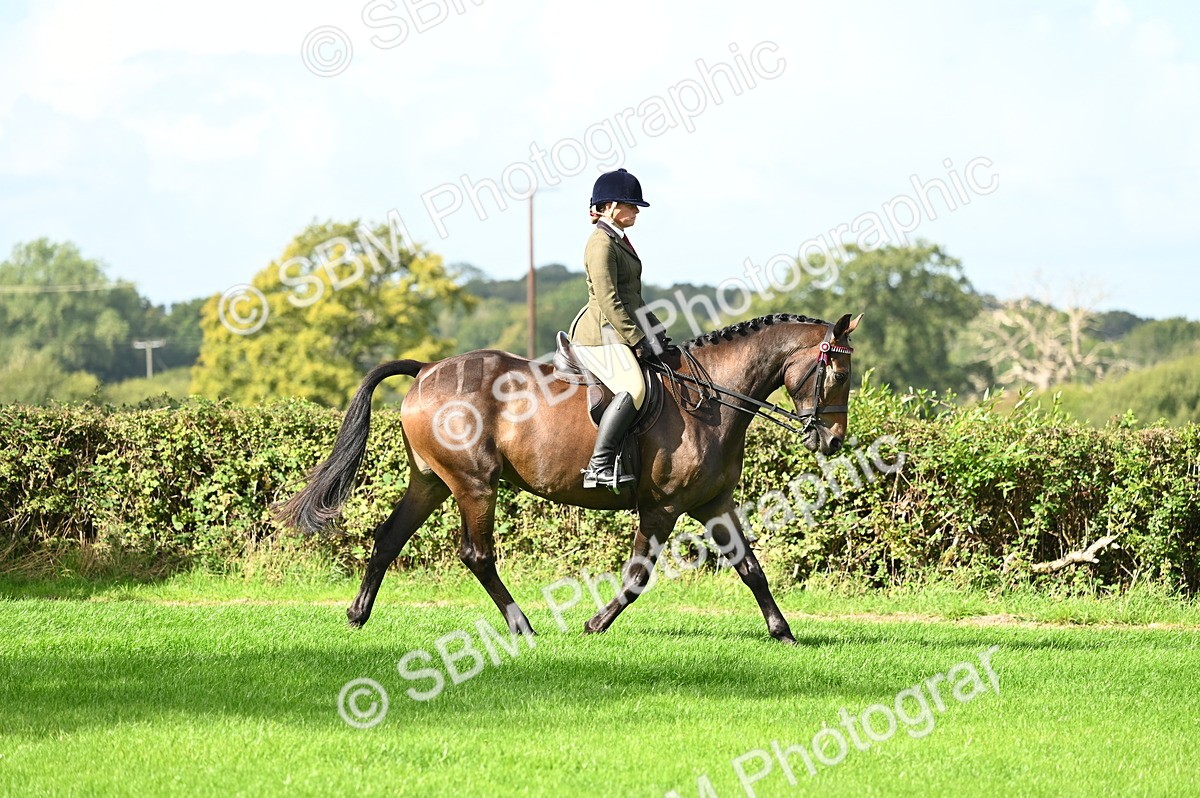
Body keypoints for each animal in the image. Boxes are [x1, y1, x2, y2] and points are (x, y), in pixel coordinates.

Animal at [276, 312, 861, 643]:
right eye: (837, 372)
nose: (833, 442)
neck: (711, 399)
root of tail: (425, 372)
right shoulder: (663, 507)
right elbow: (637, 577)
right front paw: (595, 625)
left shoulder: (713, 502)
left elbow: (751, 569)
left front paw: (783, 633)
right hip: (474, 484)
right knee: (476, 555)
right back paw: (521, 626)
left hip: (432, 482)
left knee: (389, 537)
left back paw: (357, 614)